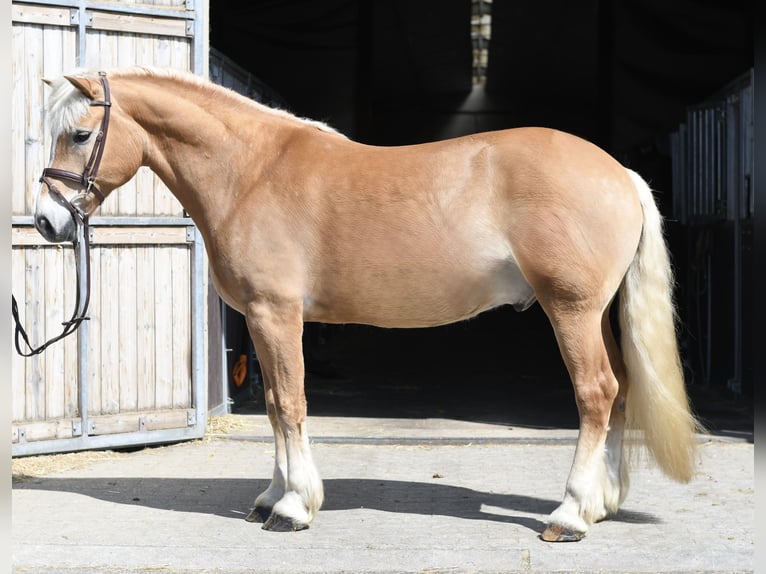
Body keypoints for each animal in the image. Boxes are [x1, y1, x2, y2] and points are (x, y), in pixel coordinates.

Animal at [33, 67, 700, 542]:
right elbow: (274, 407)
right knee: (619, 392)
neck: (250, 171)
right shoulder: (263, 320)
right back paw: (601, 503)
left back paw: (570, 514)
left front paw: (293, 507)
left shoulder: (276, 315)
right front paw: (272, 497)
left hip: (571, 311)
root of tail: (619, 173)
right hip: (598, 315)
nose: (46, 222)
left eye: (81, 134)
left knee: (595, 394)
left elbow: (290, 404)